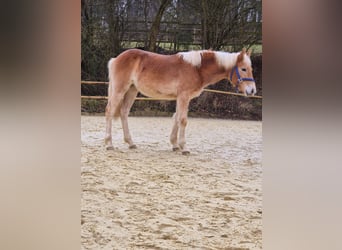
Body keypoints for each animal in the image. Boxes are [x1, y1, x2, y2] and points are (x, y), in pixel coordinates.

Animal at [104, 48, 256, 154]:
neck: (197, 69)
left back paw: (130, 143)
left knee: (124, 112)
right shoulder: (183, 96)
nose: (252, 90)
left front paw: (175, 145)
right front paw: (184, 147)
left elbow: (176, 118)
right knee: (109, 112)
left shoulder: (181, 97)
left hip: (132, 90)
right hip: (119, 90)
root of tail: (116, 59)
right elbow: (183, 120)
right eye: (243, 69)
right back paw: (109, 144)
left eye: (251, 69)